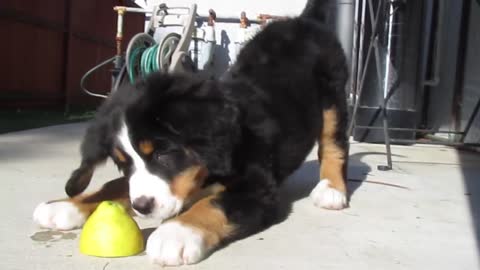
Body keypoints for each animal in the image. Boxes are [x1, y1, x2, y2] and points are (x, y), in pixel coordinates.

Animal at [33, 0, 348, 266]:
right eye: (124, 164)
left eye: (163, 153)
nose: (142, 207)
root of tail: (305, 21)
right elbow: (116, 185)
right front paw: (66, 206)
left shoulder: (258, 190)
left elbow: (214, 203)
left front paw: (176, 233)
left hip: (332, 96)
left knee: (334, 143)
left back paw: (332, 189)